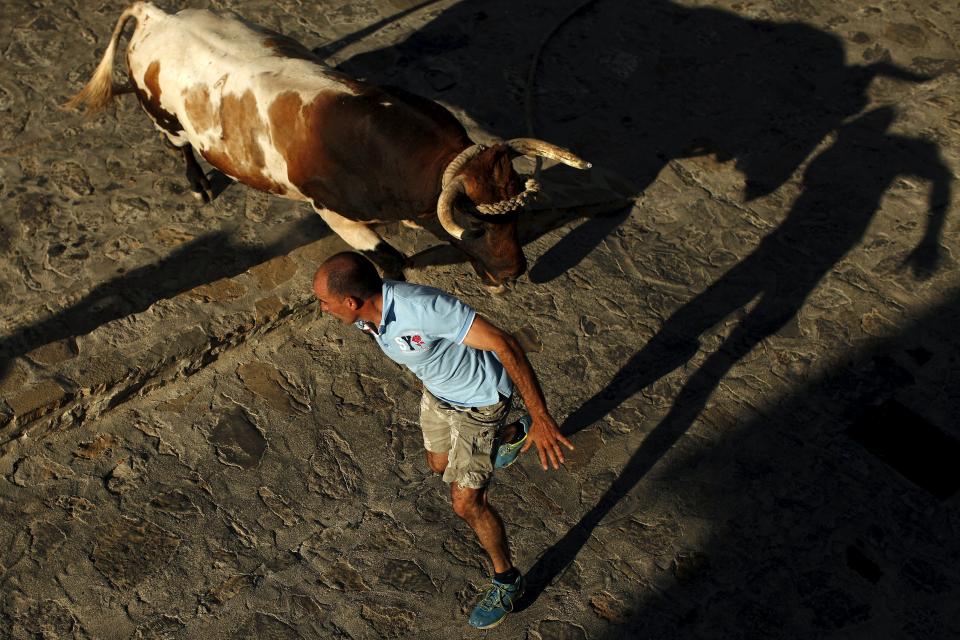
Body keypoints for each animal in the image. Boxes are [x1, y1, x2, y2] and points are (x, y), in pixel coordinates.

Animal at [63, 1, 588, 290]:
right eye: (476, 226)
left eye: (517, 211)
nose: (514, 272)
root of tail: (158, 17)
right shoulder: (333, 214)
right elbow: (391, 260)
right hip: (167, 121)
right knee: (180, 149)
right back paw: (199, 186)